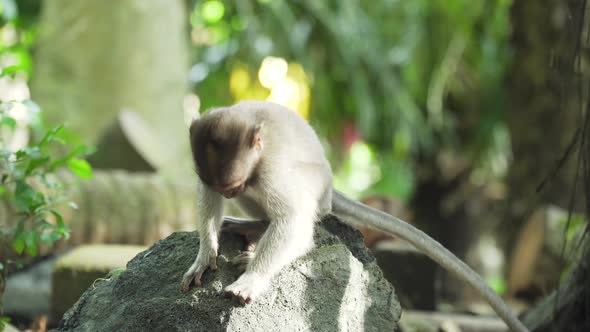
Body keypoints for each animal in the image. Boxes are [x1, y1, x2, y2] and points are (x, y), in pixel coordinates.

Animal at [182, 101, 532, 332]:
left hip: (308, 187)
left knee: (299, 219)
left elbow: (294, 220)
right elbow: (206, 192)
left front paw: (253, 279)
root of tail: (331, 187)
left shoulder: (268, 172)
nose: (230, 193)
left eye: (232, 185)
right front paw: (204, 255)